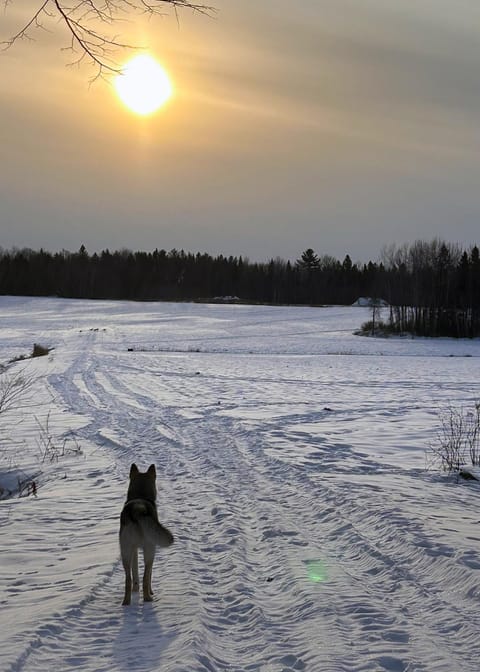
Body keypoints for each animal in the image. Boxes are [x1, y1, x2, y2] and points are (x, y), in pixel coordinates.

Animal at [119, 464, 173, 608]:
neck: (140, 494)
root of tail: (137, 509)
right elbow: (148, 576)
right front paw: (151, 591)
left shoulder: (134, 551)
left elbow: (135, 574)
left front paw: (135, 590)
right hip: (150, 550)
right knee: (145, 576)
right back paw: (148, 598)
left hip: (125, 552)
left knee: (128, 579)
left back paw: (126, 602)